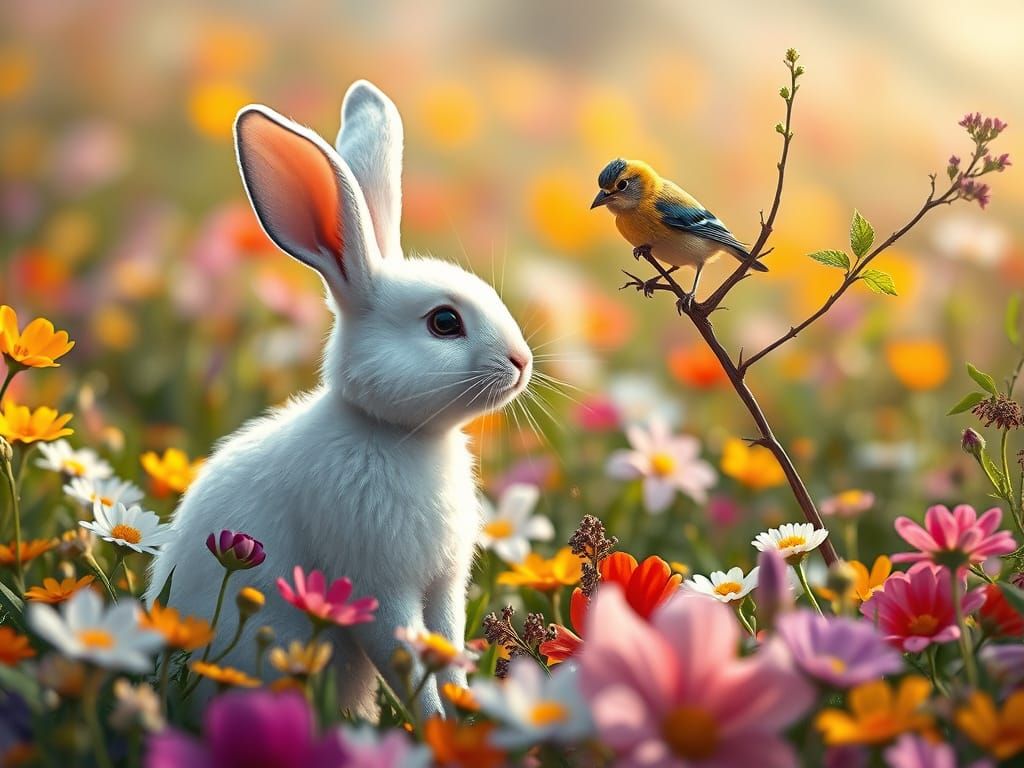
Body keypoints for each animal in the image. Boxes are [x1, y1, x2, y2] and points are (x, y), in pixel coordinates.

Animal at [146, 80, 533, 718]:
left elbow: (446, 651)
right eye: (444, 322)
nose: (522, 362)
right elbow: (410, 663)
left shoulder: (443, 588)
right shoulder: (377, 586)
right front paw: (435, 724)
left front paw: (465, 716)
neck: (396, 433)